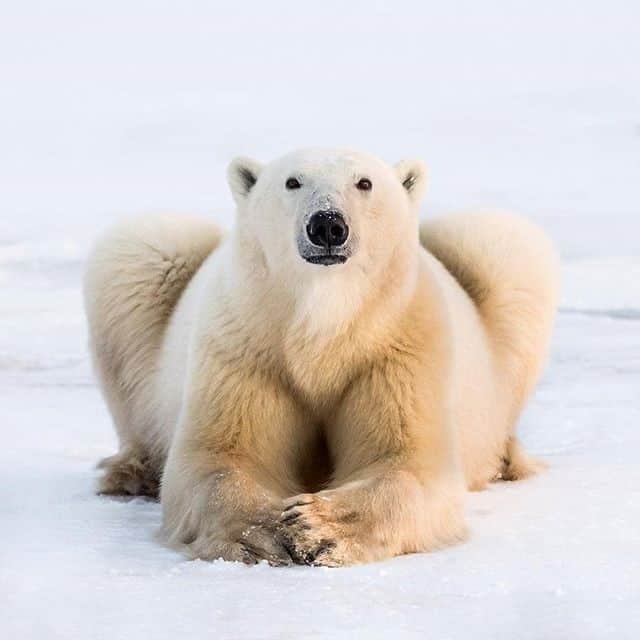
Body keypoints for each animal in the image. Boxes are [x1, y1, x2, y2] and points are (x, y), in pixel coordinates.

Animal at [83, 148, 558, 567]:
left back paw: (507, 459)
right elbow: (220, 457)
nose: (328, 224)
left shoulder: (396, 344)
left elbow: (407, 460)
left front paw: (318, 527)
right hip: (150, 270)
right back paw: (131, 472)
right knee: (144, 246)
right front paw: (264, 533)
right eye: (292, 181)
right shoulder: (248, 344)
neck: (322, 323)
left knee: (499, 244)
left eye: (364, 183)